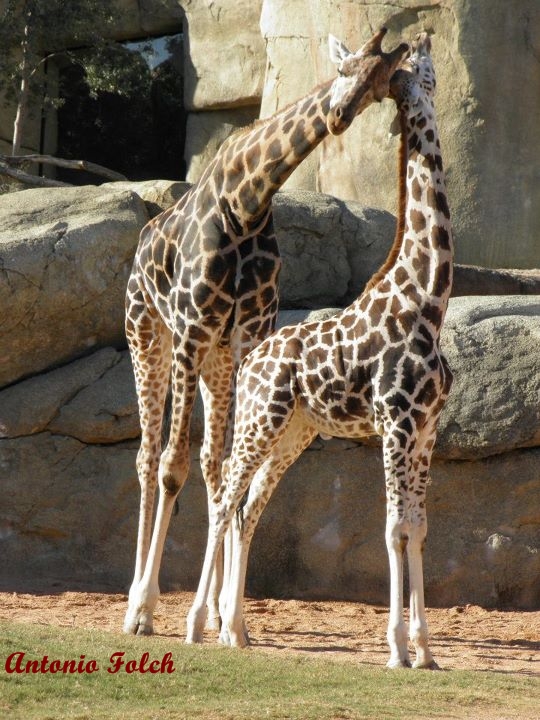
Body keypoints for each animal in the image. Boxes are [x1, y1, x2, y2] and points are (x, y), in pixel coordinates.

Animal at [123, 27, 409, 636]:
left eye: (380, 85)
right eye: (345, 68)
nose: (339, 114)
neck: (248, 200)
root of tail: (143, 240)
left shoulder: (248, 336)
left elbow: (232, 468)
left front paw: (231, 621)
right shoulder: (190, 329)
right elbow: (172, 468)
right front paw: (146, 611)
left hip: (217, 362)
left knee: (213, 465)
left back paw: (203, 609)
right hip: (149, 338)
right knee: (148, 457)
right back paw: (135, 600)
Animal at [187, 33, 453, 670]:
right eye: (418, 69)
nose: (425, 37)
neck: (430, 298)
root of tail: (251, 359)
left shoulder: (427, 427)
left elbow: (419, 528)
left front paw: (427, 651)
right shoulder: (397, 423)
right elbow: (393, 529)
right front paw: (396, 650)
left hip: (295, 431)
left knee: (248, 505)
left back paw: (236, 629)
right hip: (260, 418)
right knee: (224, 494)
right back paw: (195, 624)